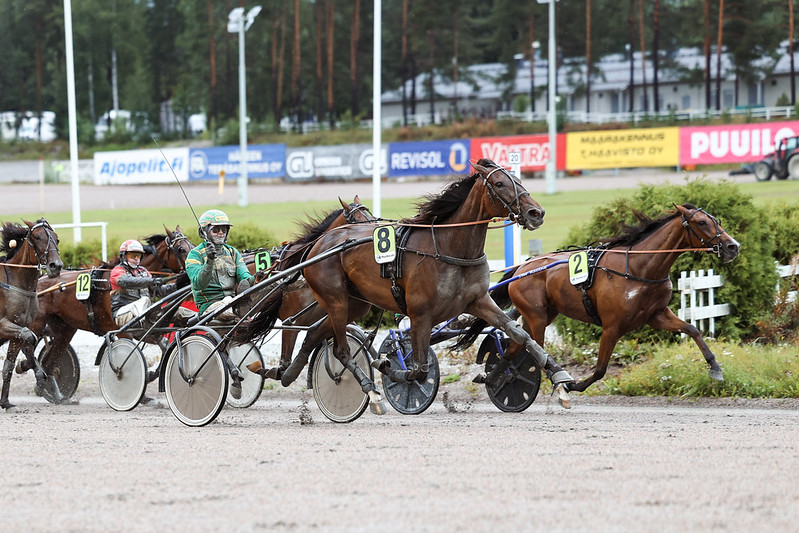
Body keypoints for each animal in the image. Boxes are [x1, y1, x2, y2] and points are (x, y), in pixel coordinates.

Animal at [0, 218, 63, 410]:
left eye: (57, 239)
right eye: (37, 237)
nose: (56, 266)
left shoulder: (18, 330)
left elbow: (9, 366)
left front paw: (5, 402)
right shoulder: (3, 325)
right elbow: (30, 338)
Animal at [238, 159, 576, 416]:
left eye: (518, 179)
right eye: (502, 184)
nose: (536, 213)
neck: (449, 247)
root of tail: (318, 245)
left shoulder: (478, 301)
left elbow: (521, 335)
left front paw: (559, 377)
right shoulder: (420, 313)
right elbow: (418, 369)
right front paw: (389, 369)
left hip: (354, 303)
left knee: (316, 336)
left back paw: (285, 373)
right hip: (334, 297)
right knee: (340, 348)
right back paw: (370, 392)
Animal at [456, 202, 744, 406]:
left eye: (716, 221)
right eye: (701, 222)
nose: (733, 246)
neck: (639, 268)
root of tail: (524, 266)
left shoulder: (656, 315)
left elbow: (693, 330)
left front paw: (715, 368)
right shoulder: (612, 327)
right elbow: (601, 369)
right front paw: (573, 386)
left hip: (544, 314)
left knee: (517, 345)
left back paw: (494, 377)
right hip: (536, 316)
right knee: (531, 347)